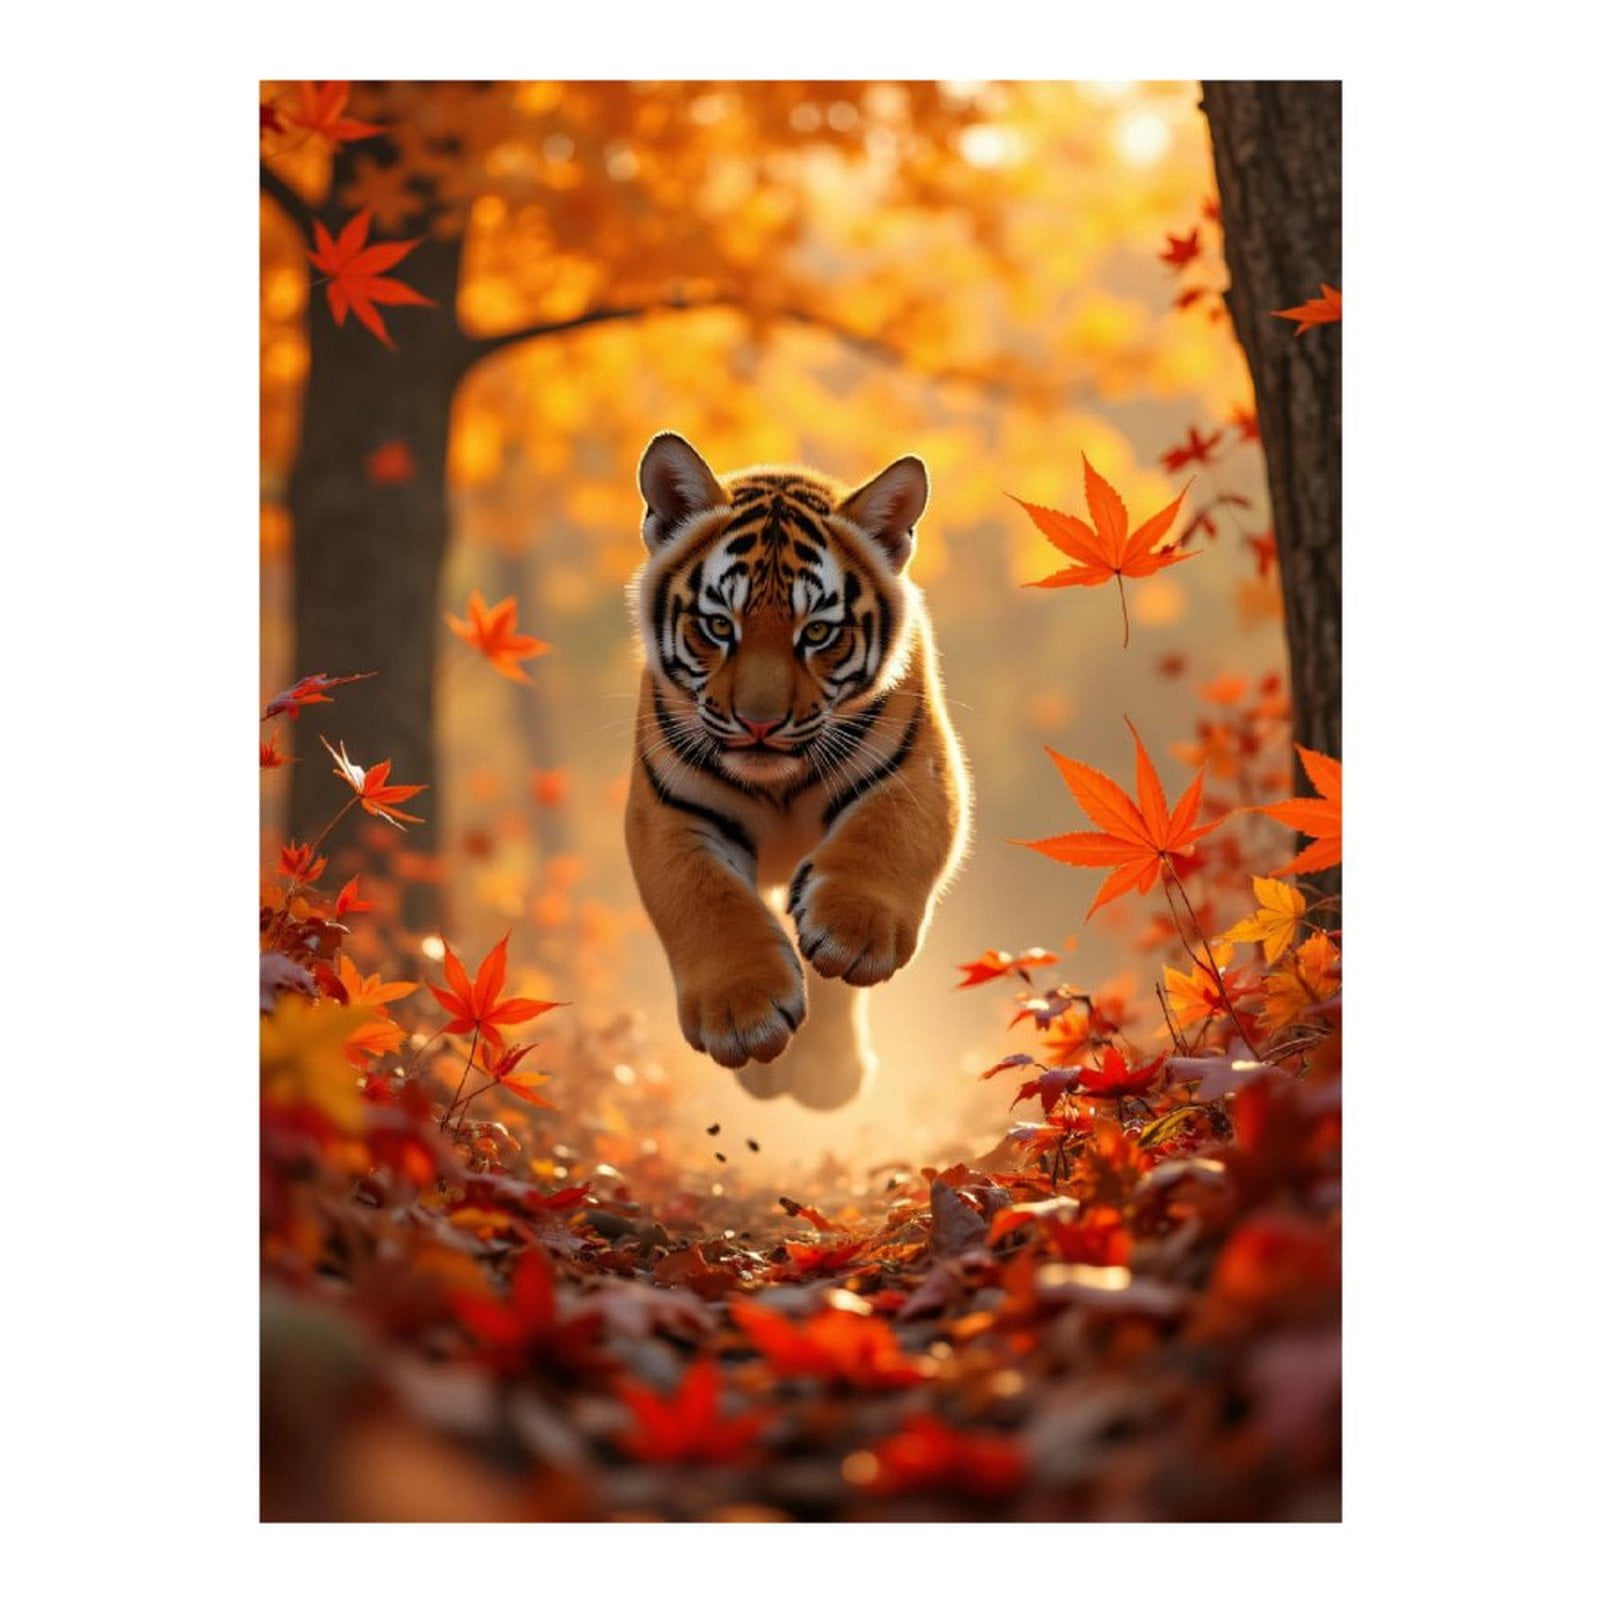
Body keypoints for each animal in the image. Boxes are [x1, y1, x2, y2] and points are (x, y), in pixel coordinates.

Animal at [624, 431, 971, 1109]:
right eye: (718, 626)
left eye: (817, 633)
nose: (759, 723)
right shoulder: (672, 808)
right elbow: (703, 897)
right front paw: (744, 1015)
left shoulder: (914, 769)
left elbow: (887, 838)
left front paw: (852, 932)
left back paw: (827, 1071)